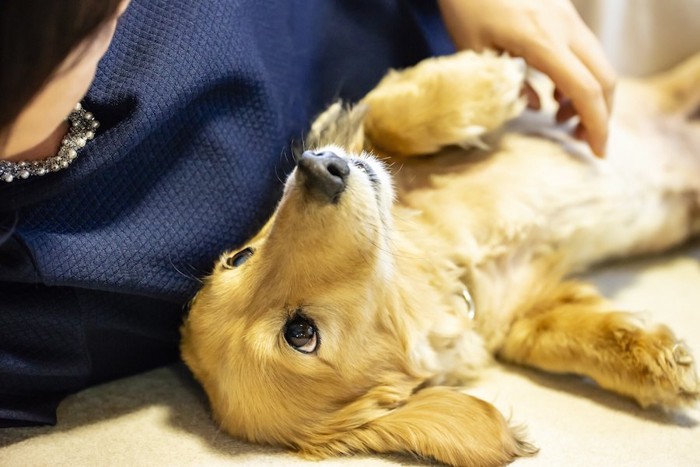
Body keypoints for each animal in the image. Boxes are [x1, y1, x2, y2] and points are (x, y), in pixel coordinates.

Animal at [182, 52, 700, 467]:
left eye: (239, 258)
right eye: (300, 334)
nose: (318, 168)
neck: (447, 265)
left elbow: (387, 116)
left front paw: (489, 79)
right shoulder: (527, 315)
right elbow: (569, 338)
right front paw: (664, 364)